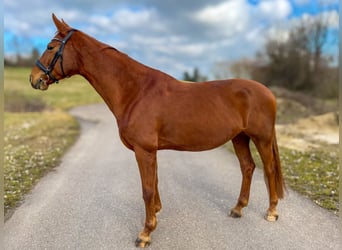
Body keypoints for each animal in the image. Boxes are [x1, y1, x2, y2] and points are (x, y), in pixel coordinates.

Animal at [30, 14, 286, 248]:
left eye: (51, 47)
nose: (34, 78)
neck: (136, 91)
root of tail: (268, 92)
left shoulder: (143, 150)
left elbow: (146, 189)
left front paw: (145, 233)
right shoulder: (151, 150)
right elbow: (154, 183)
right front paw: (157, 212)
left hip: (261, 138)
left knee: (269, 169)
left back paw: (272, 211)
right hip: (239, 138)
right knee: (248, 167)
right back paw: (238, 208)